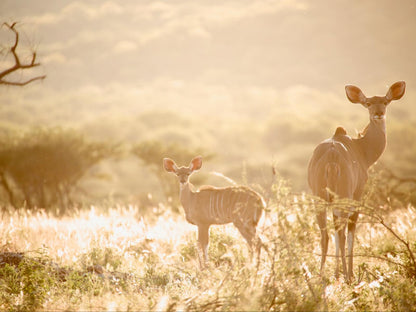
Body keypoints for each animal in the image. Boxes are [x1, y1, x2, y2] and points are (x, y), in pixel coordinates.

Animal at [308, 80, 406, 282]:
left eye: (385, 102)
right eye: (368, 103)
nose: (378, 113)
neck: (362, 150)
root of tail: (331, 159)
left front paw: (336, 274)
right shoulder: (358, 193)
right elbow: (351, 229)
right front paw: (348, 274)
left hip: (319, 199)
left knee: (326, 234)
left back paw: (321, 276)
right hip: (343, 196)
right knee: (343, 231)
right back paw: (346, 275)